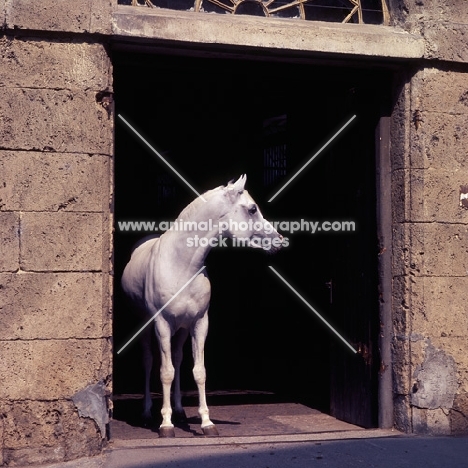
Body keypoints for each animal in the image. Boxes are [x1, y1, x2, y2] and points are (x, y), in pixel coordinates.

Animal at [120, 174, 282, 436]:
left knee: (177, 359)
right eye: (252, 209)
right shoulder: (162, 324)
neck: (181, 266)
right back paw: (147, 414)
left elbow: (198, 371)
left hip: (181, 330)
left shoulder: (199, 323)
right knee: (149, 361)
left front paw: (206, 422)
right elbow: (165, 372)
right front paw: (166, 425)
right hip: (145, 326)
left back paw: (179, 411)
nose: (279, 240)